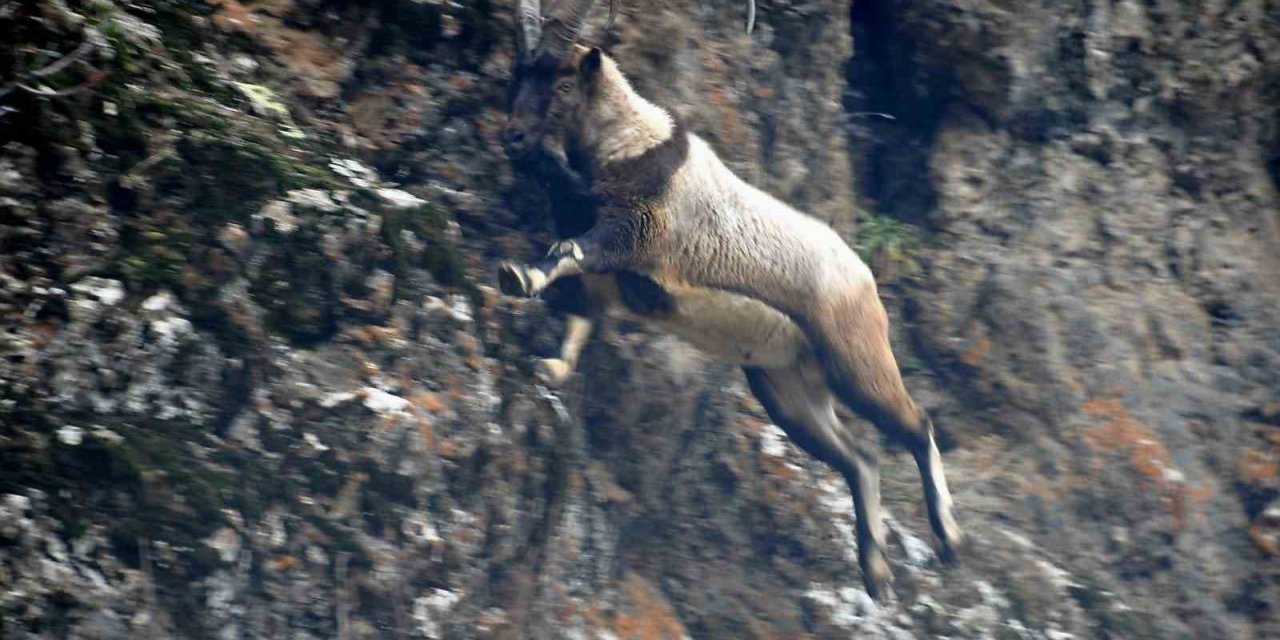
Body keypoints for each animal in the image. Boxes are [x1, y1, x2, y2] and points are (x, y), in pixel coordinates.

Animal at [499, 0, 962, 599]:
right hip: (784, 385)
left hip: (853, 358)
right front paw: (552, 367)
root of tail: (863, 278)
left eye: (560, 85)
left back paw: (948, 538)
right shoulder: (610, 275)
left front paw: (519, 277)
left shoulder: (636, 230)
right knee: (857, 459)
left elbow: (569, 253)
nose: (514, 137)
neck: (630, 145)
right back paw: (876, 572)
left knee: (914, 425)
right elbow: (582, 314)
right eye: (518, 74)